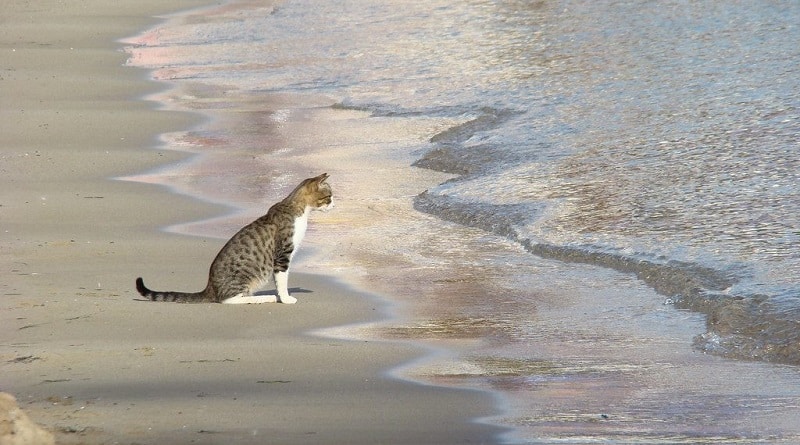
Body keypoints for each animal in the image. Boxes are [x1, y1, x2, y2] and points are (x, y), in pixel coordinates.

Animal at [138, 172, 334, 304]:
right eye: (329, 197)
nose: (334, 204)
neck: (297, 208)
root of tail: (210, 287)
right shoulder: (282, 255)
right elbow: (282, 280)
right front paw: (286, 298)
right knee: (228, 299)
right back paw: (264, 297)